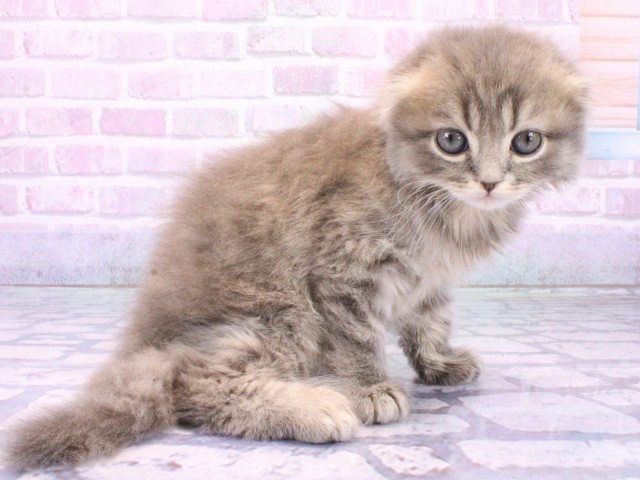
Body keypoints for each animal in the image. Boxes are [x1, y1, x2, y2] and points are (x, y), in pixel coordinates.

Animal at [6, 25, 587, 469]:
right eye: (452, 140)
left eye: (525, 141)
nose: (489, 182)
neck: (442, 205)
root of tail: (144, 336)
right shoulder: (342, 270)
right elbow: (357, 340)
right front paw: (370, 390)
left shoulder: (430, 277)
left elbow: (429, 321)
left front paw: (438, 363)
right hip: (280, 314)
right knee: (193, 384)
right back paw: (312, 411)